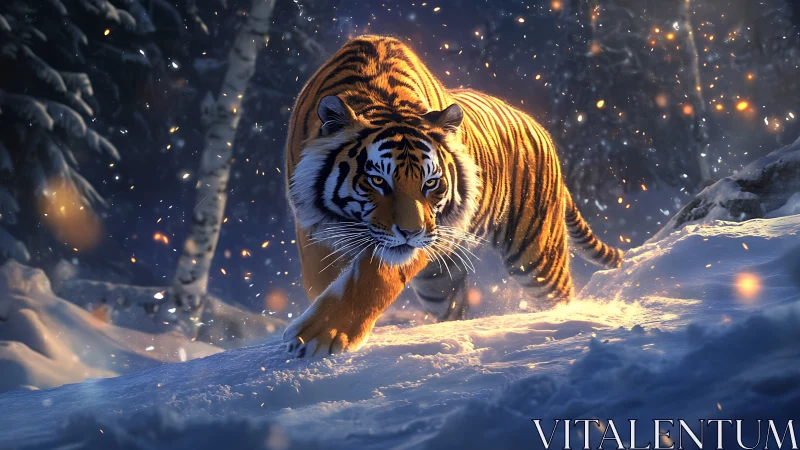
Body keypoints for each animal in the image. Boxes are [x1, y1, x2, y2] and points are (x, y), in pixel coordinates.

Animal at [283, 35, 623, 358]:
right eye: (378, 180)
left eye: (431, 183)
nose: (411, 233)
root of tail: (541, 129)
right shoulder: (312, 223)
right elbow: (322, 277)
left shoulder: (430, 230)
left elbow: (373, 278)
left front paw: (320, 334)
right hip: (438, 285)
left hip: (536, 257)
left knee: (557, 296)